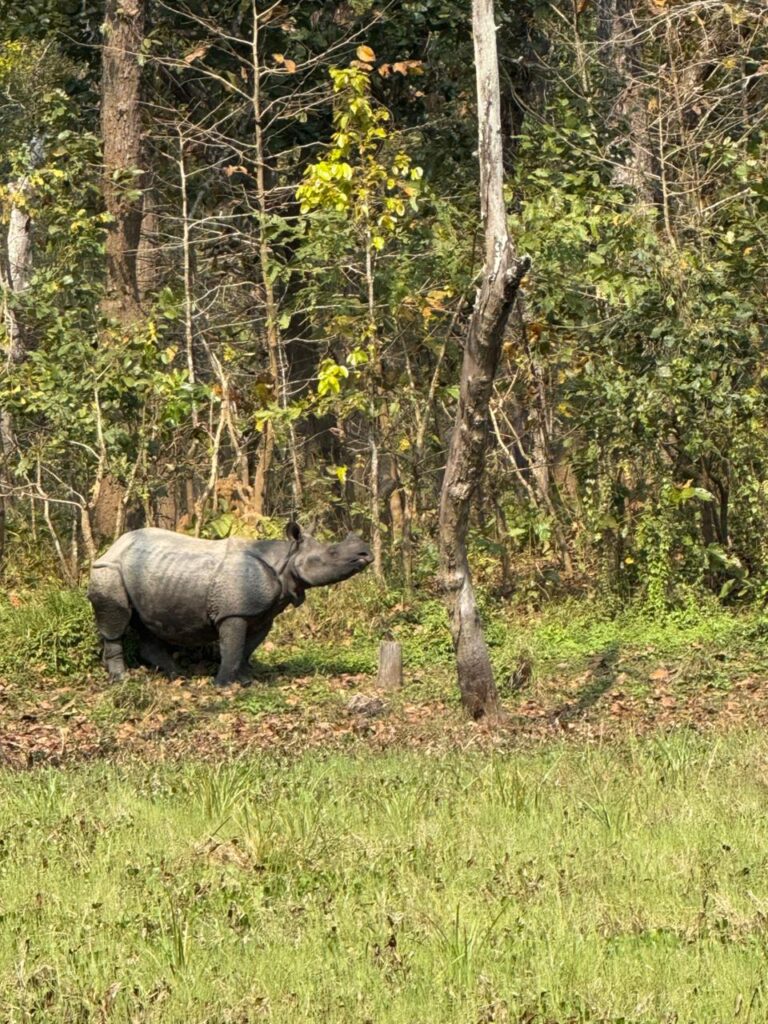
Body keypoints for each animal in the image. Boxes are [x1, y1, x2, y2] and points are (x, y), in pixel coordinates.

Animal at [87, 523, 373, 686]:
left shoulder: (263, 614)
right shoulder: (233, 612)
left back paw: (178, 676)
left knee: (146, 624)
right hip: (108, 569)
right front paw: (224, 686)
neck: (286, 560)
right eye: (332, 553)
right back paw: (121, 680)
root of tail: (112, 547)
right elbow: (232, 647)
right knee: (117, 621)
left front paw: (246, 681)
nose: (366, 554)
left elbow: (247, 648)